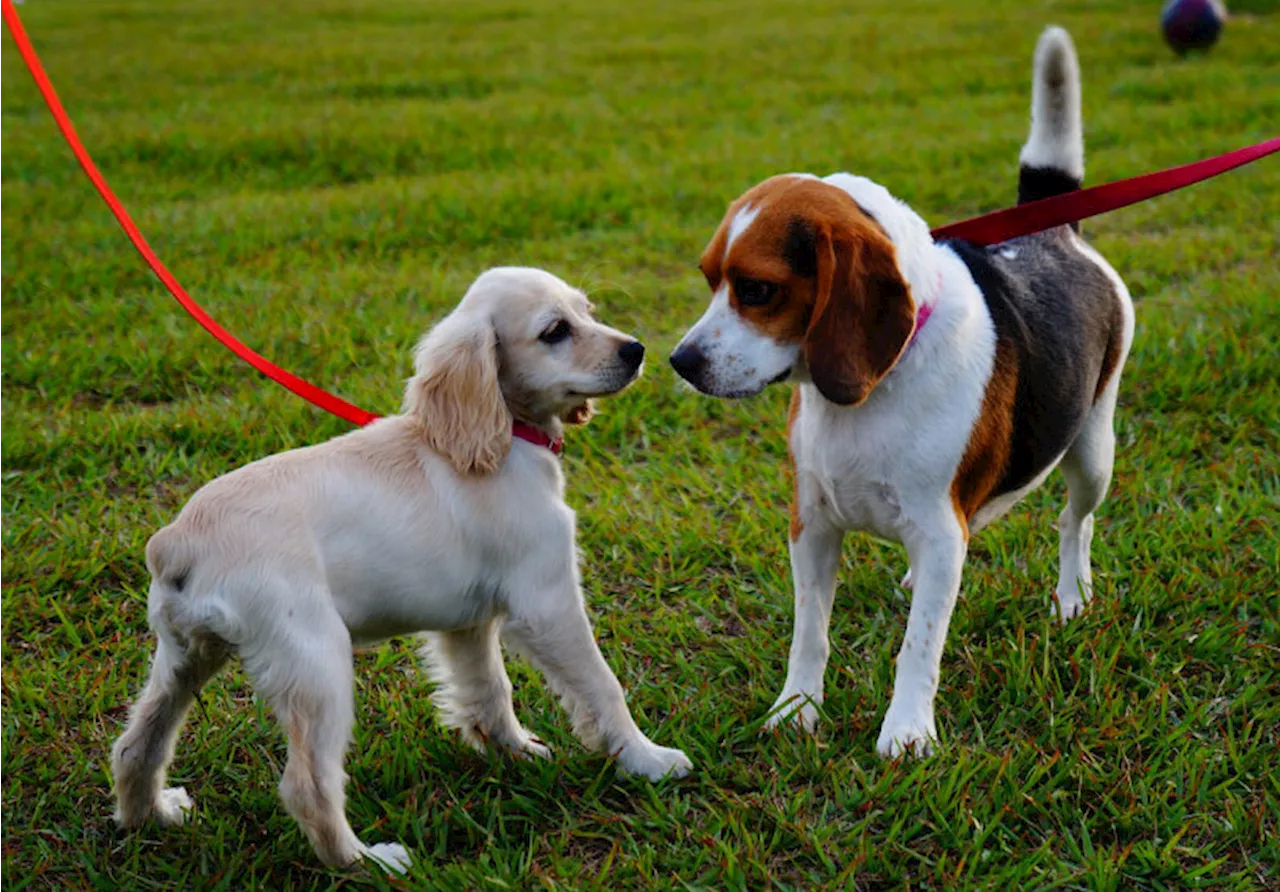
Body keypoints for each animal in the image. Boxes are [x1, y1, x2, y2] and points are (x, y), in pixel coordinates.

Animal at [110, 267, 691, 875]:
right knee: (306, 785)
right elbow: (603, 686)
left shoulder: (467, 624)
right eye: (555, 331)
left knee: (136, 745)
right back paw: (367, 861)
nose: (637, 350)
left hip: (185, 656)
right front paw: (647, 760)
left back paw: (151, 817)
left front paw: (512, 752)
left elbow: (489, 689)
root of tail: (179, 540)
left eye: (587, 311)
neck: (504, 437)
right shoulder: (547, 602)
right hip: (316, 663)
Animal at [670, 24, 1131, 752]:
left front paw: (907, 732)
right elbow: (810, 632)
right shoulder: (813, 523)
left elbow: (920, 645)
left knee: (1073, 522)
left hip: (1093, 453)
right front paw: (796, 709)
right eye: (710, 278)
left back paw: (1072, 597)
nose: (679, 362)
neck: (872, 391)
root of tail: (1055, 230)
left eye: (758, 290)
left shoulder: (942, 532)